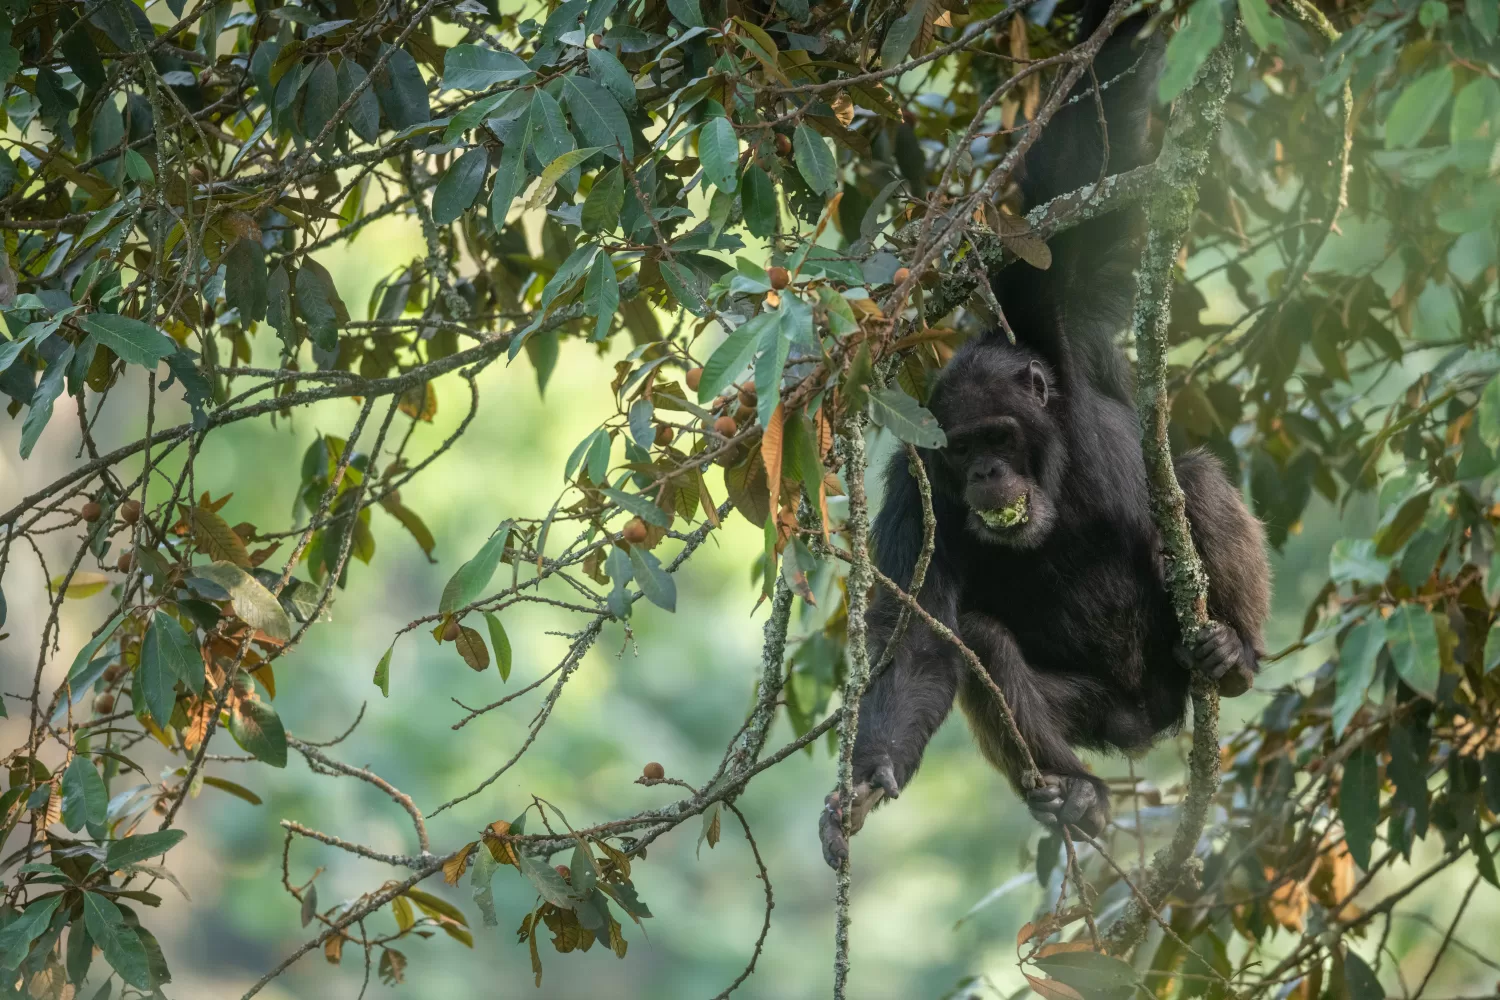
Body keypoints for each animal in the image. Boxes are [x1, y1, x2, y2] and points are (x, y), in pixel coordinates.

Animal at [818, 0, 1270, 866]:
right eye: (961, 450)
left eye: (999, 437)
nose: (986, 476)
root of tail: (1146, 726)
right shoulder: (914, 498)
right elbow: (917, 645)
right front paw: (865, 781)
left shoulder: (1057, 312)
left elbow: (1079, 158)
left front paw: (1113, 27)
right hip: (1095, 715)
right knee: (983, 647)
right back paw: (1077, 794)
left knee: (1196, 480)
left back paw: (1233, 657)